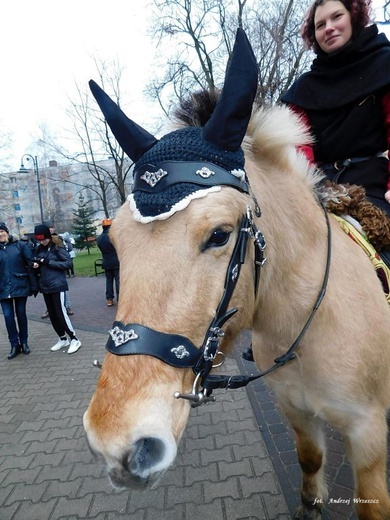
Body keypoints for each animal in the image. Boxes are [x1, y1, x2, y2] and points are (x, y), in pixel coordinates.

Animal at [83, 30, 390, 516]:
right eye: (117, 241)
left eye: (220, 234)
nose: (117, 444)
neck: (305, 326)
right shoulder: (295, 410)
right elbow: (309, 459)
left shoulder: (369, 433)